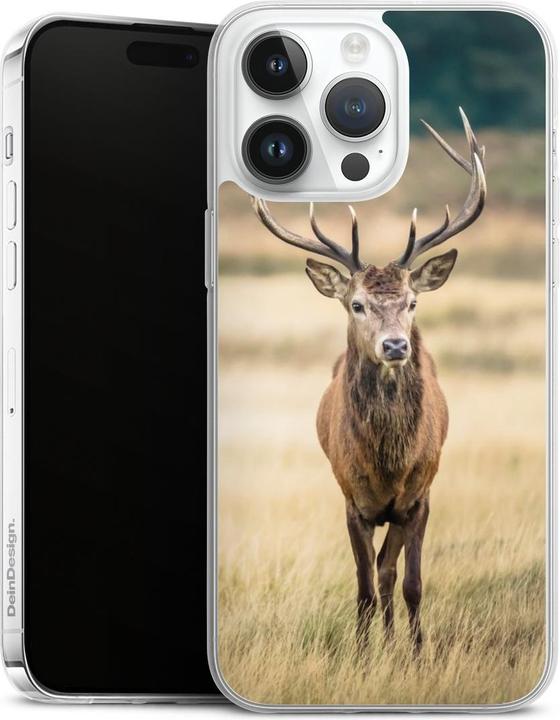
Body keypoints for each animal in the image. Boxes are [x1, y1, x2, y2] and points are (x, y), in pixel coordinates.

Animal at [251, 108, 486, 654]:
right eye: (357, 304)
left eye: (413, 302)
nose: (396, 345)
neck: (387, 465)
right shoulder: (350, 499)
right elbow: (361, 586)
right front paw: (360, 655)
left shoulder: (419, 496)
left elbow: (409, 582)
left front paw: (417, 654)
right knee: (375, 575)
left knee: (388, 571)